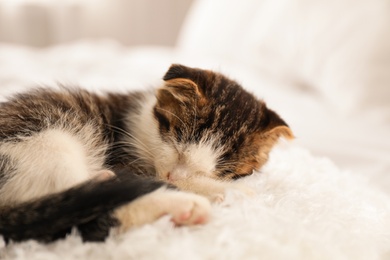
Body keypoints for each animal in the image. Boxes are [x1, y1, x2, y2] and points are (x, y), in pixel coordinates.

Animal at [0, 64, 292, 243]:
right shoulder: (124, 158)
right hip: (47, 141)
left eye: (221, 170)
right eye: (177, 145)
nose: (174, 176)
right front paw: (234, 192)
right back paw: (182, 206)